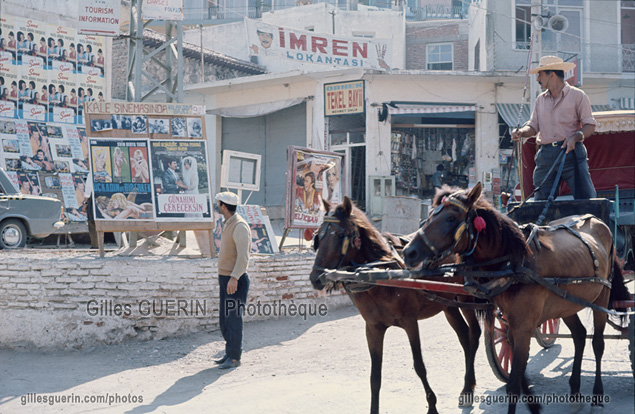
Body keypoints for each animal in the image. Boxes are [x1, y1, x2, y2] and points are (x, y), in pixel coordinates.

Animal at [310, 197, 482, 414]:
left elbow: (419, 365)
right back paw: (467, 385)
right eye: (319, 235)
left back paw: (469, 387)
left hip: (465, 297)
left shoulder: (410, 322)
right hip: (447, 304)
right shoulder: (373, 328)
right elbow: (375, 376)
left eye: (340, 235)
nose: (315, 278)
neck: (379, 274)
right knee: (464, 337)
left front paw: (432, 405)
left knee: (474, 334)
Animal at [402, 183, 632, 412]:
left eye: (450, 218)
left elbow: (513, 385)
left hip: (602, 296)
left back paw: (597, 395)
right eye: (430, 215)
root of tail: (598, 221)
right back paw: (575, 391)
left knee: (598, 344)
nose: (408, 252)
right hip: (566, 303)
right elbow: (516, 370)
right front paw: (532, 401)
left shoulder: (523, 326)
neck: (515, 261)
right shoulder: (512, 324)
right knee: (579, 335)